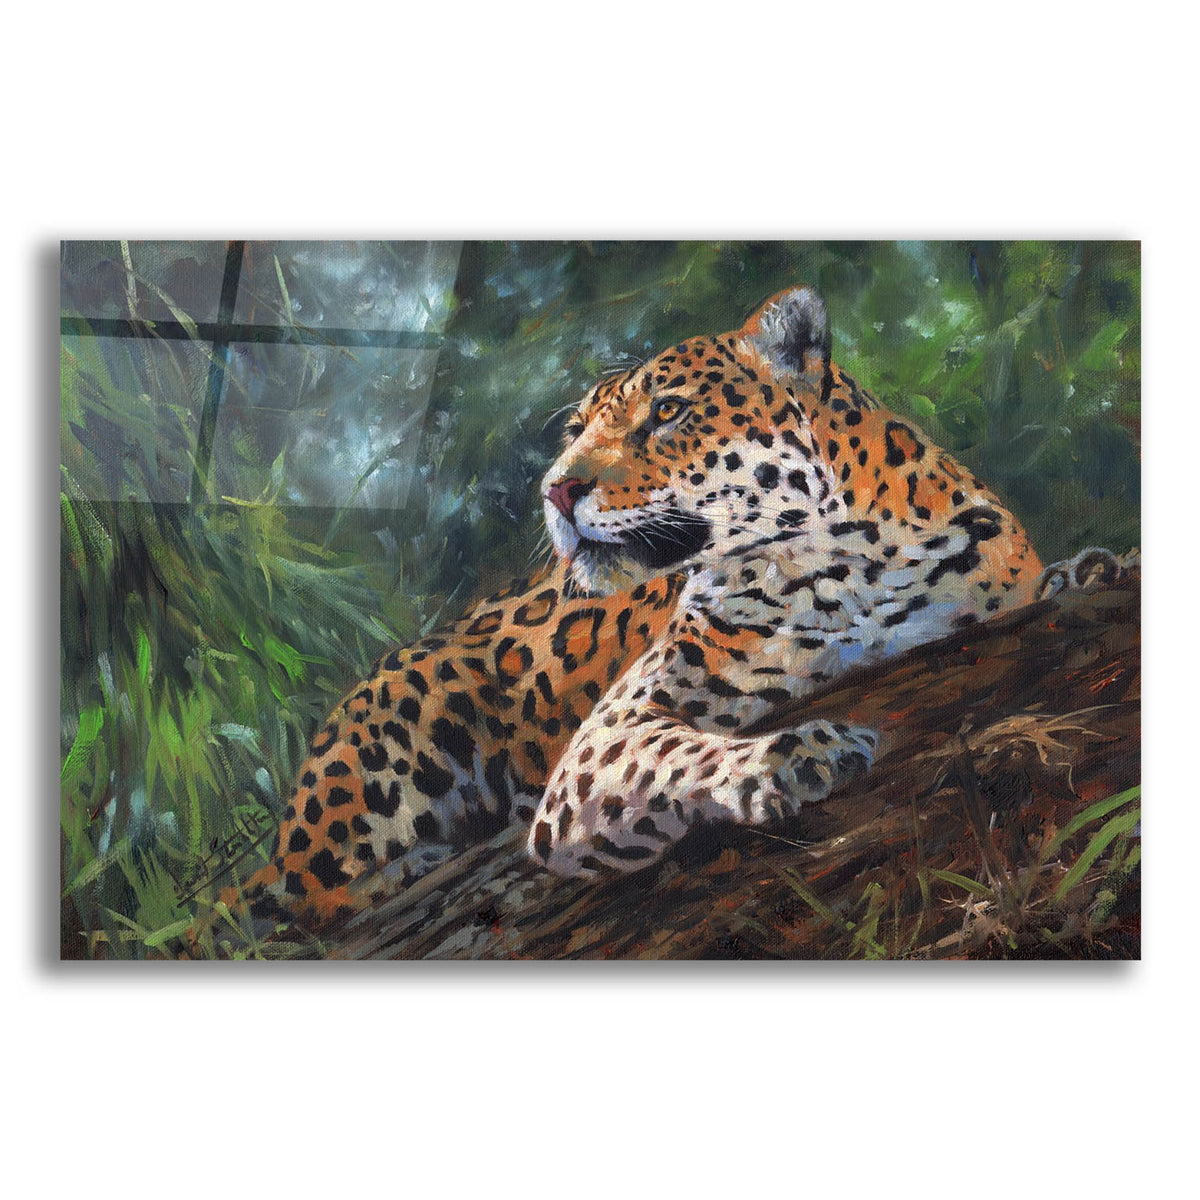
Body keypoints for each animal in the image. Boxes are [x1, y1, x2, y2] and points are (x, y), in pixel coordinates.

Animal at [217, 284, 1115, 932]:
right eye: (576, 431)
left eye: (670, 412)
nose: (556, 489)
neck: (843, 565)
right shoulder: (604, 740)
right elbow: (674, 754)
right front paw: (791, 755)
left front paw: (1090, 567)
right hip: (401, 728)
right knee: (301, 892)